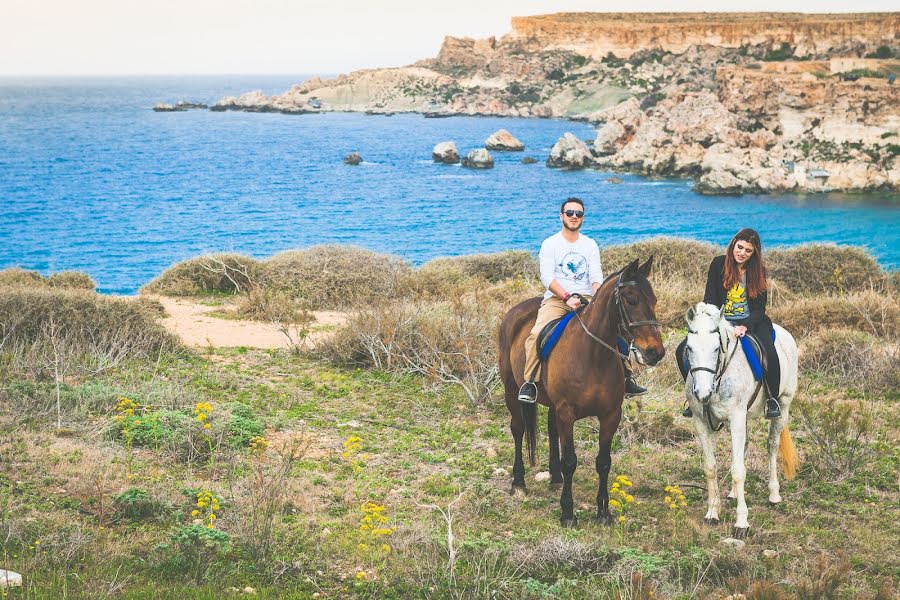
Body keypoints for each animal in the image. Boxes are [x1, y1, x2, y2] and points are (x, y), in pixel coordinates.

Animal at [496, 258, 664, 524]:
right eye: (631, 300)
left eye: (654, 300)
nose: (655, 352)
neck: (594, 355)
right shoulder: (567, 412)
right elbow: (570, 461)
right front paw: (567, 513)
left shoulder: (610, 415)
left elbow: (603, 462)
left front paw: (603, 512)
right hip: (512, 389)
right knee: (518, 429)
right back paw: (519, 482)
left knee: (551, 430)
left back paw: (555, 478)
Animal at [684, 302, 800, 536]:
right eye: (689, 348)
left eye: (716, 348)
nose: (702, 393)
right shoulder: (702, 422)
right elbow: (710, 467)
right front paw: (712, 512)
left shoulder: (737, 418)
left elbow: (738, 471)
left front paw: (741, 522)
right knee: (743, 449)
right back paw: (733, 493)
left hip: (783, 405)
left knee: (772, 445)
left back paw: (774, 494)